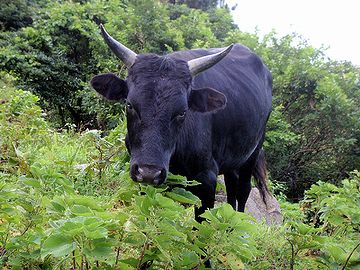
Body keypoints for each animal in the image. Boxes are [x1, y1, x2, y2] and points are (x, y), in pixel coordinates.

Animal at [91, 24, 272, 219]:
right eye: (129, 104)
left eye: (182, 112)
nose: (149, 172)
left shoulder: (207, 180)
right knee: (232, 186)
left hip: (253, 153)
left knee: (243, 190)